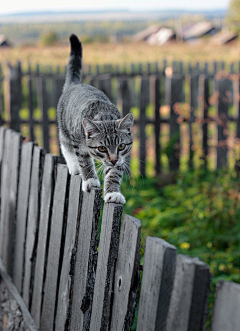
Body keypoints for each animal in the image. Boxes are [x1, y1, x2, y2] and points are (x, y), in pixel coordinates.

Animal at [57, 34, 134, 205]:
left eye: (121, 146)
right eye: (102, 148)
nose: (113, 160)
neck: (105, 115)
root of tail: (75, 84)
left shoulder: (122, 157)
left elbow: (114, 173)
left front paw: (113, 193)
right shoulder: (78, 140)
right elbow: (84, 159)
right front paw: (90, 179)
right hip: (64, 127)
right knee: (65, 145)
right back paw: (74, 167)